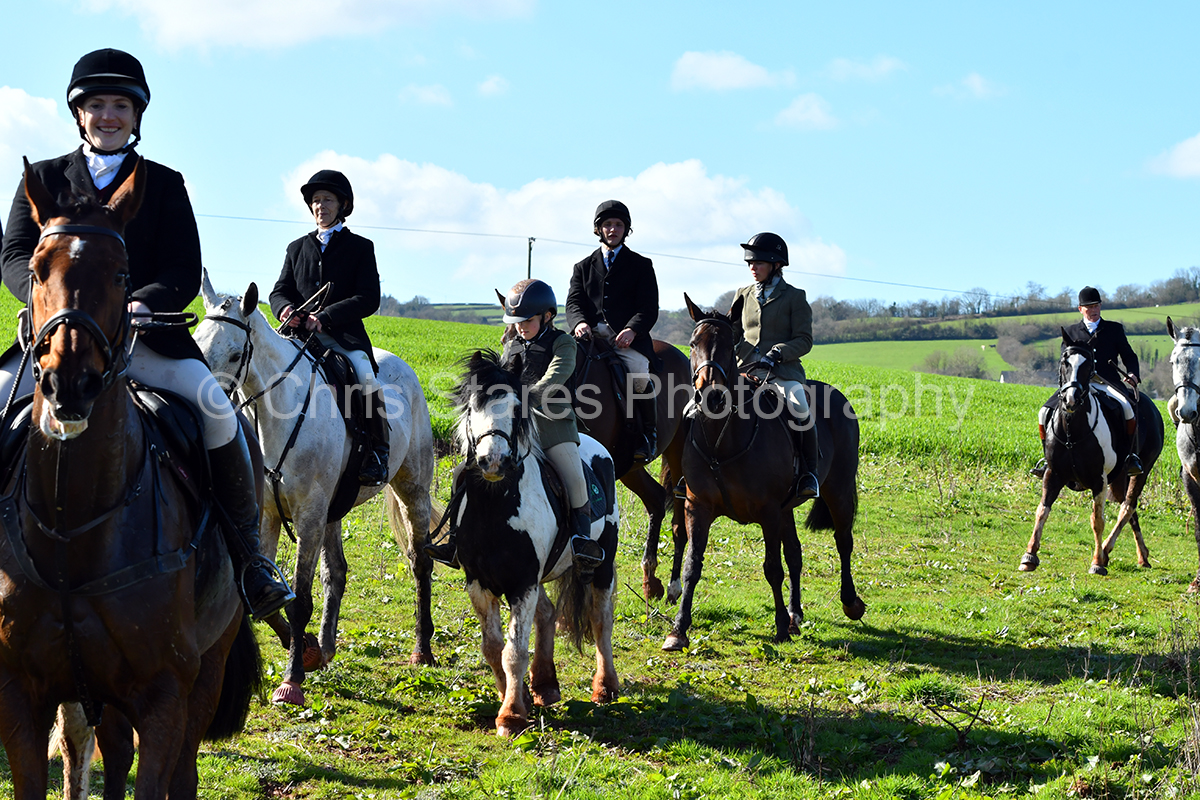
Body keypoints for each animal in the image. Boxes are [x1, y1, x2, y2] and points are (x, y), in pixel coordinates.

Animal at [194, 275, 437, 706]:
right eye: (196, 342)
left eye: (236, 353)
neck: (278, 413)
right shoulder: (269, 516)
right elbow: (264, 598)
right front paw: (305, 651)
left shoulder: (308, 515)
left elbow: (299, 600)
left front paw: (292, 680)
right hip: (333, 510)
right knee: (336, 573)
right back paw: (324, 647)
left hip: (412, 490)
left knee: (420, 563)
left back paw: (422, 650)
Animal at [452, 349, 619, 736]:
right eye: (473, 405)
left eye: (517, 408)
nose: (493, 460)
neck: (495, 510)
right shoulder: (480, 583)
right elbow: (493, 647)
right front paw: (518, 698)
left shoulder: (522, 583)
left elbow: (514, 651)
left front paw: (511, 715)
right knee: (547, 614)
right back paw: (545, 684)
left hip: (603, 564)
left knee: (600, 619)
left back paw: (605, 687)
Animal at [662, 295, 865, 651]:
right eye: (692, 343)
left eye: (729, 345)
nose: (711, 396)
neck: (722, 441)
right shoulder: (698, 506)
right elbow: (692, 566)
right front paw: (678, 629)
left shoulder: (768, 511)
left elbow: (772, 568)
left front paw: (780, 626)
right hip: (787, 509)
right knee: (795, 553)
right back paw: (797, 614)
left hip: (837, 490)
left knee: (843, 542)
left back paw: (849, 603)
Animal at [1020, 331, 1164, 575]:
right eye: (1064, 362)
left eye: (1089, 365)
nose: (1071, 399)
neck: (1072, 430)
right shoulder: (1053, 474)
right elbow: (1042, 510)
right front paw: (1029, 555)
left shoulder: (1099, 480)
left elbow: (1097, 519)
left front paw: (1096, 563)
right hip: (1120, 478)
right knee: (1129, 509)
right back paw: (1139, 555)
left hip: (1142, 470)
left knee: (1128, 506)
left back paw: (1107, 551)